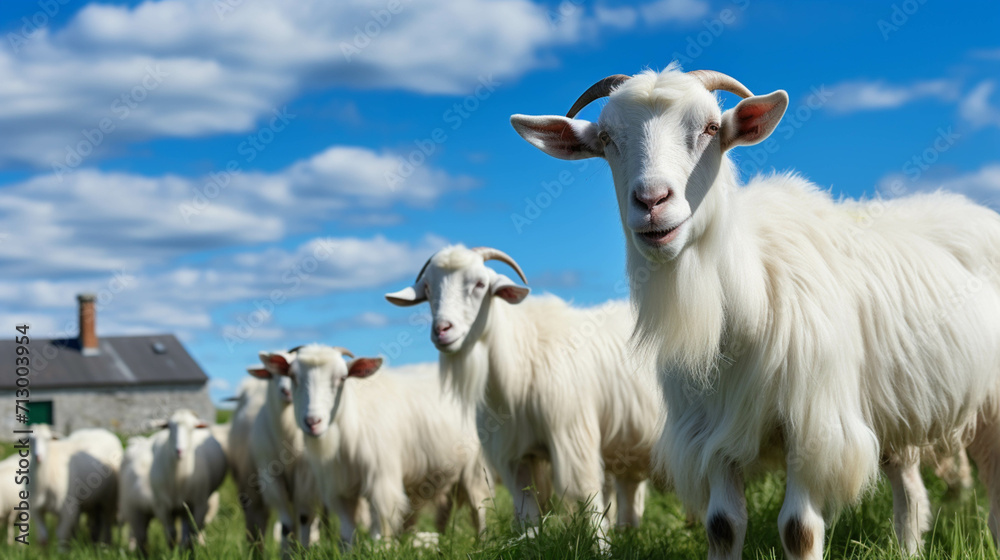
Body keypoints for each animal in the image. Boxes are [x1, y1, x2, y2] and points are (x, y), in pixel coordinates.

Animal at [149, 409, 227, 550]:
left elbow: (194, 530)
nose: (179, 451)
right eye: (169, 426)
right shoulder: (162, 506)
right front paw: (173, 551)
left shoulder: (199, 504)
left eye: (192, 428)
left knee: (194, 528)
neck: (178, 478)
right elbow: (171, 533)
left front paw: (191, 550)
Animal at [246, 353, 322, 556]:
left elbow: (305, 519)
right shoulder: (271, 478)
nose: (286, 391)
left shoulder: (305, 478)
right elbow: (286, 526)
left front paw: (304, 552)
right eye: (272, 374)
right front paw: (289, 554)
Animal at [261, 344, 492, 544]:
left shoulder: (382, 484)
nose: (312, 422)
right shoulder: (340, 490)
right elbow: (347, 536)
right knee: (442, 513)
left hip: (476, 468)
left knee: (480, 509)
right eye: (293, 377)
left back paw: (482, 545)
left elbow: (379, 535)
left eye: (342, 378)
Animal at [386, 245, 666, 536]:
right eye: (428, 288)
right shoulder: (516, 455)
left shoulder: (573, 438)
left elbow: (586, 497)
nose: (442, 330)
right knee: (630, 490)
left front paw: (600, 543)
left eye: (480, 284)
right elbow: (526, 510)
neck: (521, 358)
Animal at [510, 64, 1000, 559]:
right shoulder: (711, 435)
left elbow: (799, 529)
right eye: (608, 138)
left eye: (711, 128)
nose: (652, 202)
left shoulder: (812, 426)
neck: (748, 299)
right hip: (896, 411)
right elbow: (723, 526)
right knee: (911, 493)